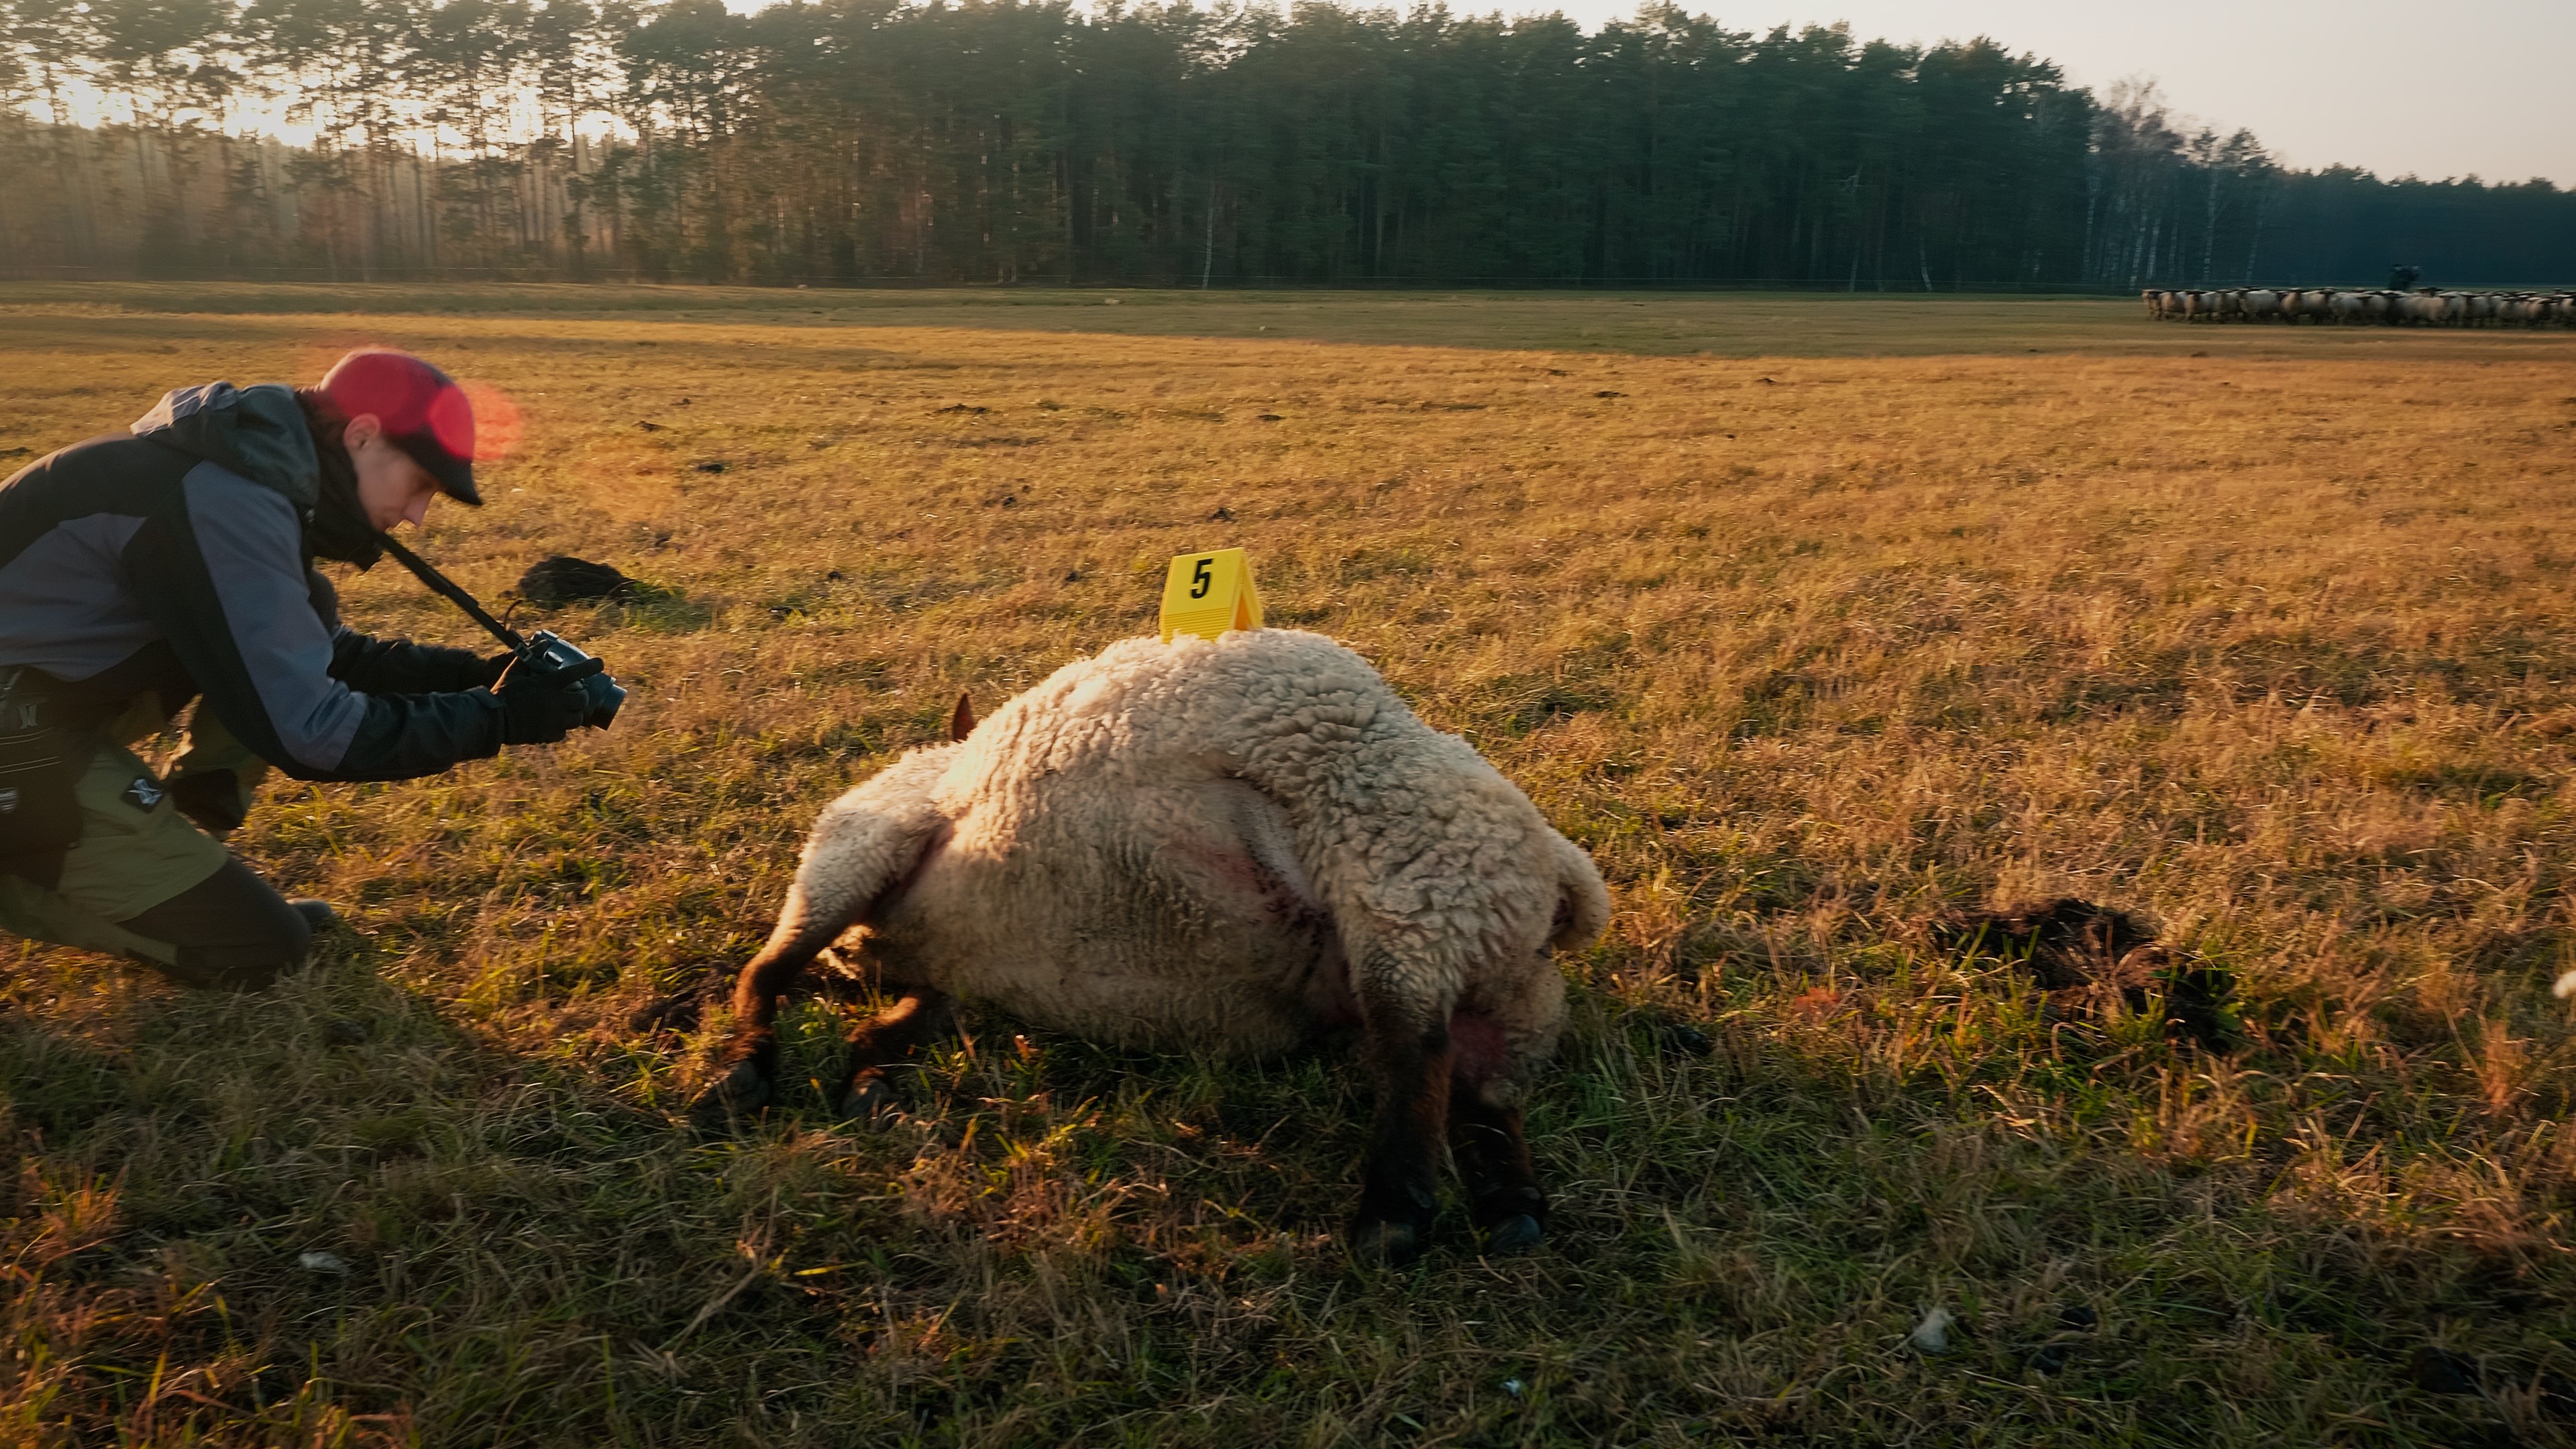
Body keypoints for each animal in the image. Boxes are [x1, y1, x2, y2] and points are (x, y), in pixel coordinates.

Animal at [685, 626, 1607, 1258]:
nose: (854, 964)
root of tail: (1565, 883)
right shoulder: (945, 967)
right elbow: (889, 1013)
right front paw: (870, 1074)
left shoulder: (867, 842)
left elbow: (767, 972)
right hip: (1507, 990)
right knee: (1481, 1094)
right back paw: (1512, 1207)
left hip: (1406, 895)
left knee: (1418, 1055)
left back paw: (1392, 1216)